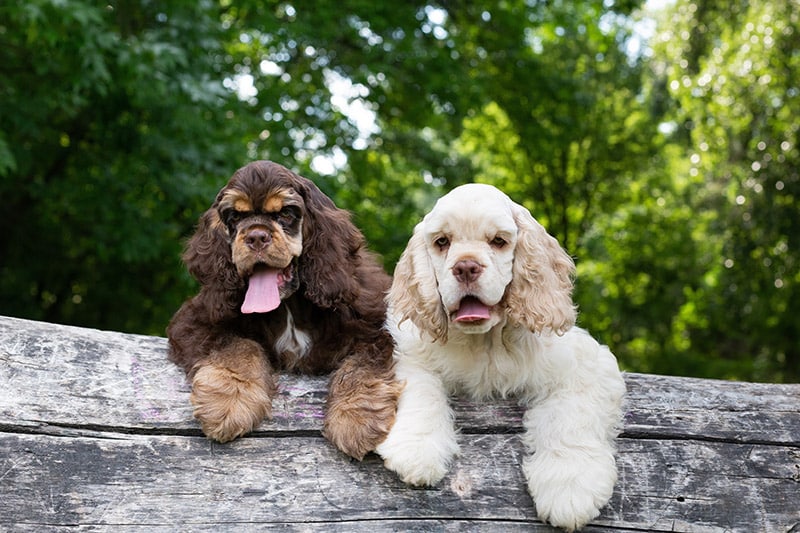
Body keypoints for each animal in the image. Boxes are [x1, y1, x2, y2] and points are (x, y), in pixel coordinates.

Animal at [376, 184, 624, 532]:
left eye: (498, 241)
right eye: (442, 242)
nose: (466, 267)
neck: (486, 342)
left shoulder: (588, 363)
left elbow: (572, 416)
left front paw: (569, 487)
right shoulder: (411, 353)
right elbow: (422, 389)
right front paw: (416, 450)